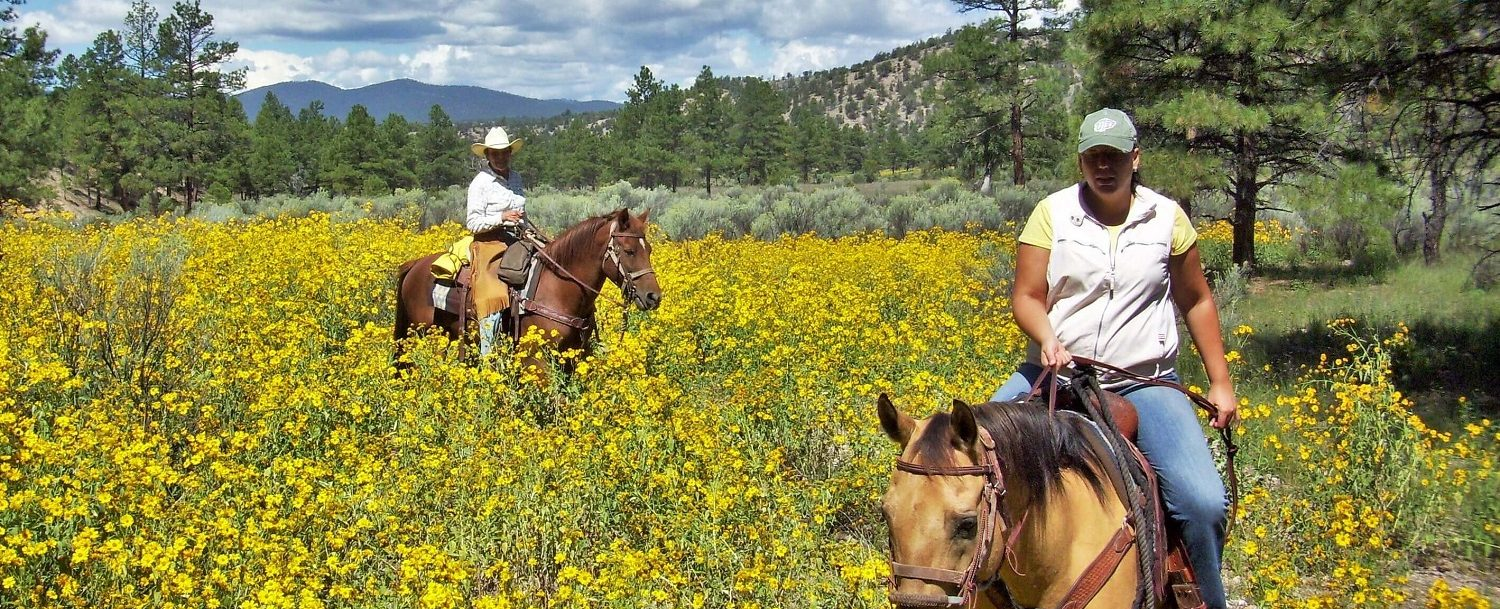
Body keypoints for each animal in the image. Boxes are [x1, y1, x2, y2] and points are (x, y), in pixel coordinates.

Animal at [393, 207, 663, 369]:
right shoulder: (536, 357)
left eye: (648, 249)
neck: (558, 288)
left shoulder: (572, 356)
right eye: (629, 251)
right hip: (428, 338)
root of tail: (415, 265)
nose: (654, 297)